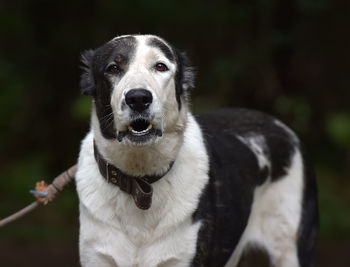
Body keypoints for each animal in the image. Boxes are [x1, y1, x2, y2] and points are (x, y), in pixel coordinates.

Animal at [75, 34, 318, 266]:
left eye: (160, 66)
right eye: (113, 68)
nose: (138, 98)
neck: (139, 180)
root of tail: (280, 125)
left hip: (290, 247)